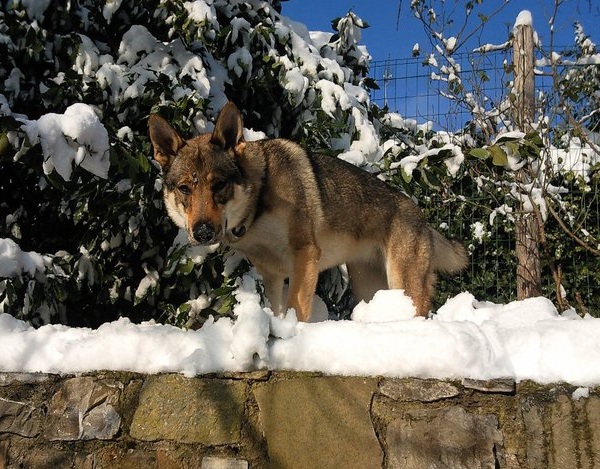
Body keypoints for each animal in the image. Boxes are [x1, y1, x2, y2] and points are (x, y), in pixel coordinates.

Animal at [148, 102, 466, 322]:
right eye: (184, 188)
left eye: (219, 185)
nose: (202, 232)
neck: (258, 202)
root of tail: (422, 217)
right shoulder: (272, 274)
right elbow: (278, 310)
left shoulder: (305, 254)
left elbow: (297, 307)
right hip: (369, 287)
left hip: (403, 283)